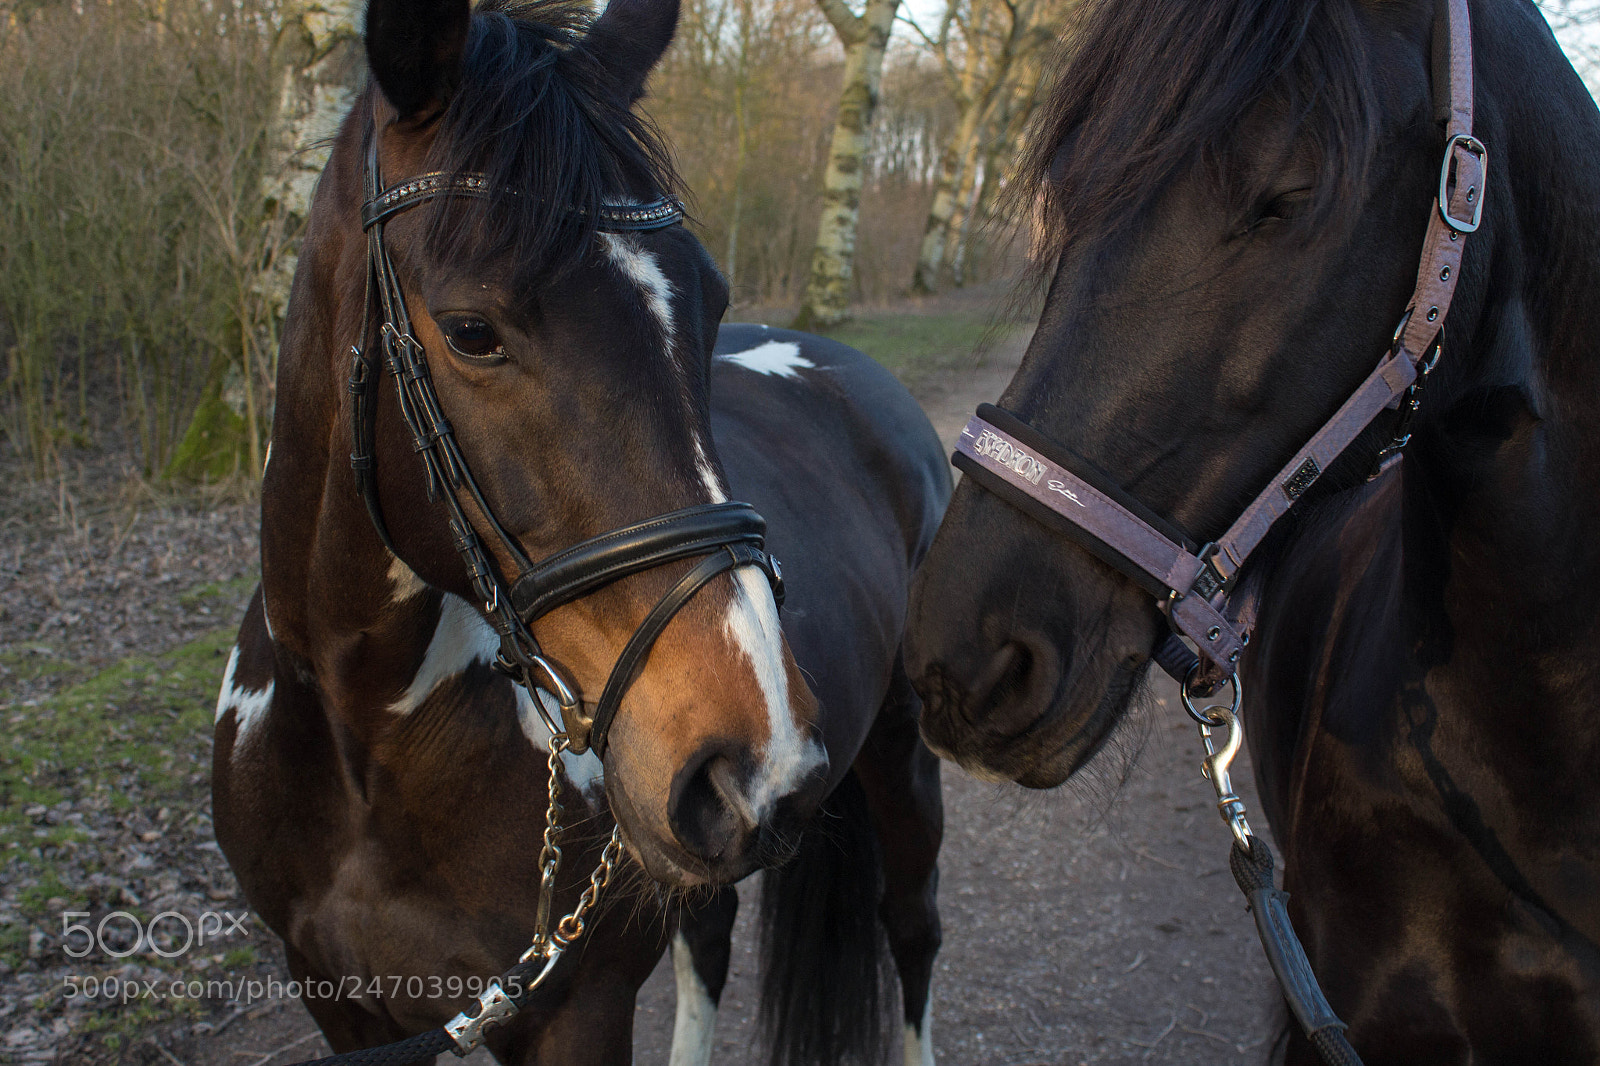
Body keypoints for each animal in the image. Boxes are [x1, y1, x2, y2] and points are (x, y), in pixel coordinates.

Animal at [210, 0, 950, 1061]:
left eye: (711, 303)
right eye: (472, 331)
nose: (757, 765)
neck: (362, 747)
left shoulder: (579, 1007)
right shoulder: (337, 1001)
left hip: (897, 750)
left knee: (911, 925)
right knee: (711, 941)